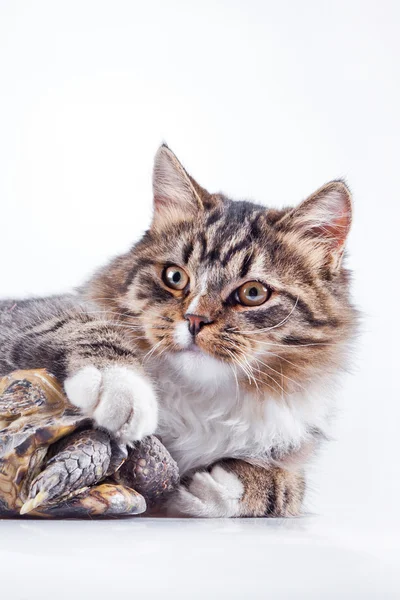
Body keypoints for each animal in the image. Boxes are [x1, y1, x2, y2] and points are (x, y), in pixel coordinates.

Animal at [0, 145, 356, 516]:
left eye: (253, 293)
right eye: (175, 276)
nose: (195, 320)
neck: (201, 400)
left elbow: (288, 487)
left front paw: (216, 485)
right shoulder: (27, 317)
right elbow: (83, 326)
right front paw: (122, 390)